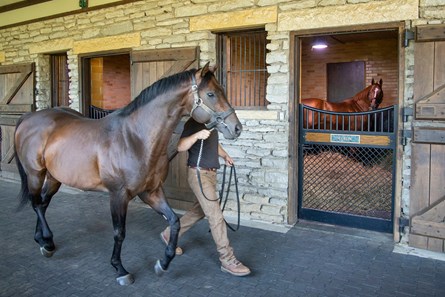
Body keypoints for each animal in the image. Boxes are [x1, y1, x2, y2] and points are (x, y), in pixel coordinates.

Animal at [13, 62, 241, 284]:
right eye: (211, 94)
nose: (236, 128)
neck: (135, 138)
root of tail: (29, 118)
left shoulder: (151, 192)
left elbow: (174, 222)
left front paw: (163, 263)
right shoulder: (118, 195)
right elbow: (119, 232)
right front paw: (120, 269)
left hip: (54, 177)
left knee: (43, 204)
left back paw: (44, 240)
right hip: (35, 174)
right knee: (36, 204)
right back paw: (47, 243)